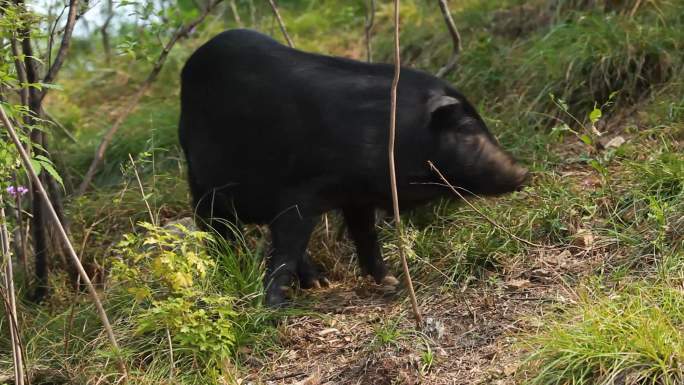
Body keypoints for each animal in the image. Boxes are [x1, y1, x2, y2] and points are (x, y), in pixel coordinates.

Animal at [178, 29, 528, 306]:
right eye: (468, 130)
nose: (524, 172)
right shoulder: (302, 192)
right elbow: (288, 247)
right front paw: (275, 306)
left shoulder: (356, 196)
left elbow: (365, 237)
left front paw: (391, 282)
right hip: (199, 178)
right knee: (215, 225)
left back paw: (320, 283)